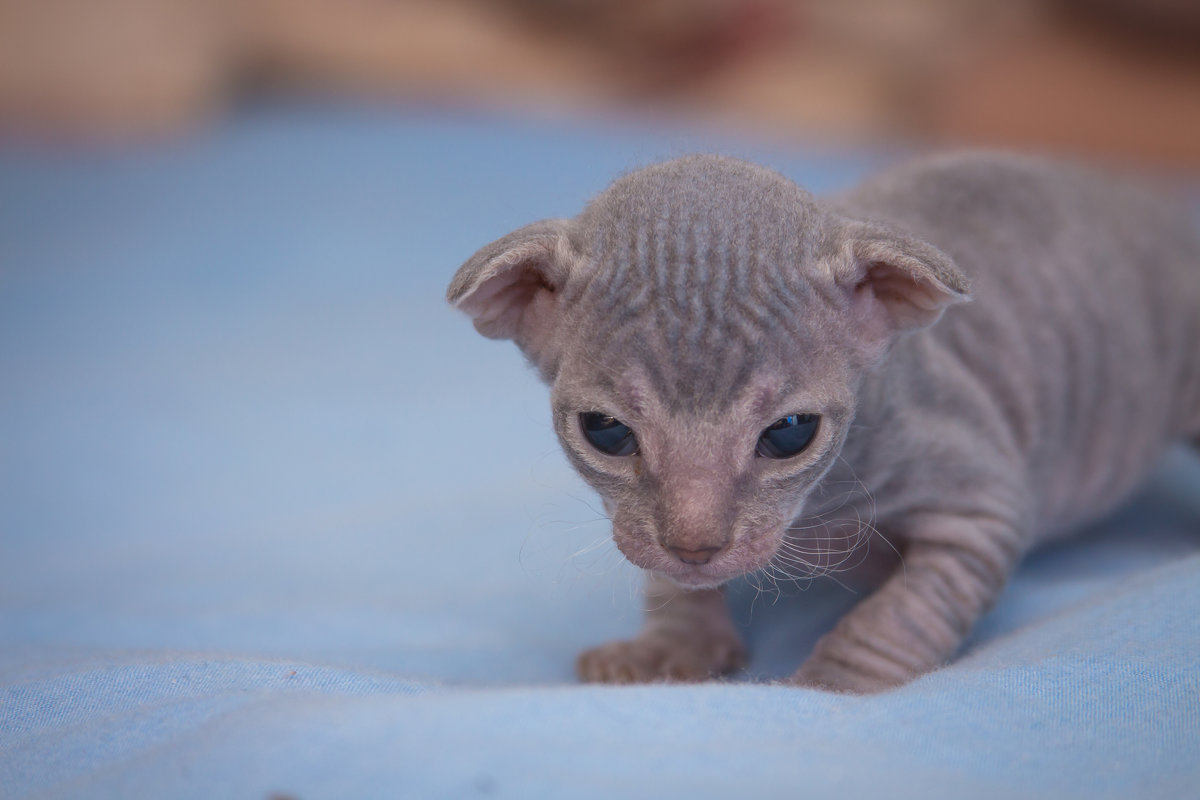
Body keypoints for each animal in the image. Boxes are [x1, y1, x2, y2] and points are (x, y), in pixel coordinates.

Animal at [444, 153, 1200, 690]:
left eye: (789, 433)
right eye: (605, 431)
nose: (696, 545)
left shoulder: (980, 506)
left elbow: (906, 611)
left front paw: (833, 685)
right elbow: (660, 572)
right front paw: (672, 647)